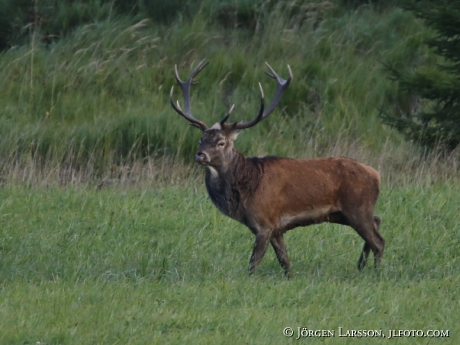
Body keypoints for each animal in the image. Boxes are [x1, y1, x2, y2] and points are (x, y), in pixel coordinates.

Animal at [169, 58, 384, 274]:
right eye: (201, 140)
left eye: (221, 142)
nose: (200, 154)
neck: (246, 190)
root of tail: (376, 174)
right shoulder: (276, 227)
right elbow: (285, 261)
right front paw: (289, 277)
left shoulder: (264, 222)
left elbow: (253, 263)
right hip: (344, 213)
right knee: (377, 222)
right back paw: (361, 266)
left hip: (357, 206)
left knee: (378, 241)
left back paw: (375, 272)